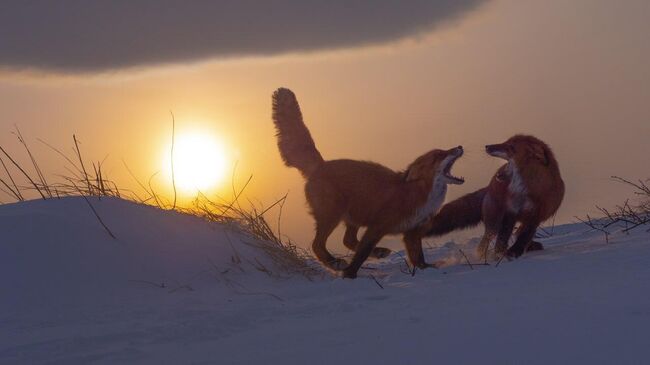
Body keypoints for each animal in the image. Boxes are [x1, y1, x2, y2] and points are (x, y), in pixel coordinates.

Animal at [270, 87, 464, 276]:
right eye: (439, 155)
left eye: (444, 151)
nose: (460, 147)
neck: (419, 194)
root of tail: (322, 165)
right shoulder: (377, 226)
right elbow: (361, 254)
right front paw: (349, 275)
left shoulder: (412, 232)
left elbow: (418, 258)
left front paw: (428, 270)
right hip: (332, 215)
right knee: (318, 244)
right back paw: (335, 262)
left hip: (353, 216)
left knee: (347, 240)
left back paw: (377, 252)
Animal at [404, 134, 560, 258]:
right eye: (506, 142)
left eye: (510, 147)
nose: (487, 146)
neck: (525, 191)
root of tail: (489, 186)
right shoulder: (510, 212)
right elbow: (503, 238)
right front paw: (499, 255)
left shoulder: (535, 216)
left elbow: (524, 236)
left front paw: (513, 252)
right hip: (494, 220)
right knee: (487, 239)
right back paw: (482, 255)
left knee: (519, 233)